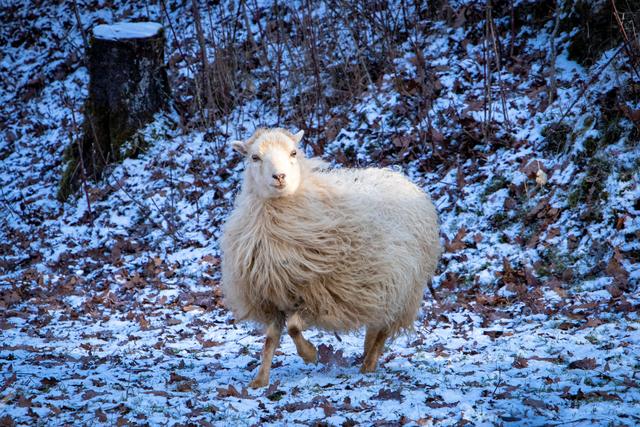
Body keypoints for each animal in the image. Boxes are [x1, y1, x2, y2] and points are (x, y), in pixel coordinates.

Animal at [220, 128, 441, 388]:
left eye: (293, 152)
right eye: (255, 157)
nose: (280, 177)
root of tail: (399, 177)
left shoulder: (319, 296)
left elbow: (293, 327)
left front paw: (310, 354)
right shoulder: (272, 296)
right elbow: (271, 338)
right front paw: (260, 380)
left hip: (405, 287)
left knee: (385, 328)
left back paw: (369, 364)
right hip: (383, 288)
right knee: (376, 325)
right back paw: (366, 354)